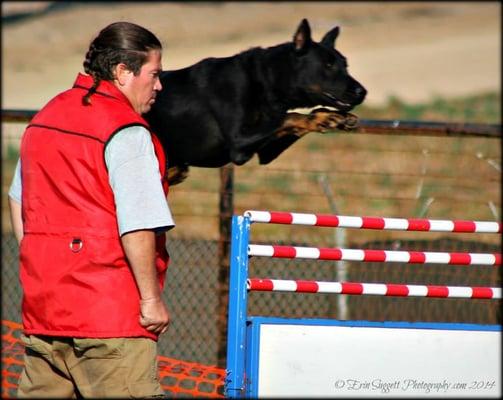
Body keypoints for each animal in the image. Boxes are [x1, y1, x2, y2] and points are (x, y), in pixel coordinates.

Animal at [145, 18, 366, 184]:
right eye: (328, 65)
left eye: (345, 65)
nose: (362, 92)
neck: (265, 80)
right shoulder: (239, 142)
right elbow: (289, 117)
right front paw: (325, 117)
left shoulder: (266, 151)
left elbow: (294, 120)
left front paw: (330, 117)